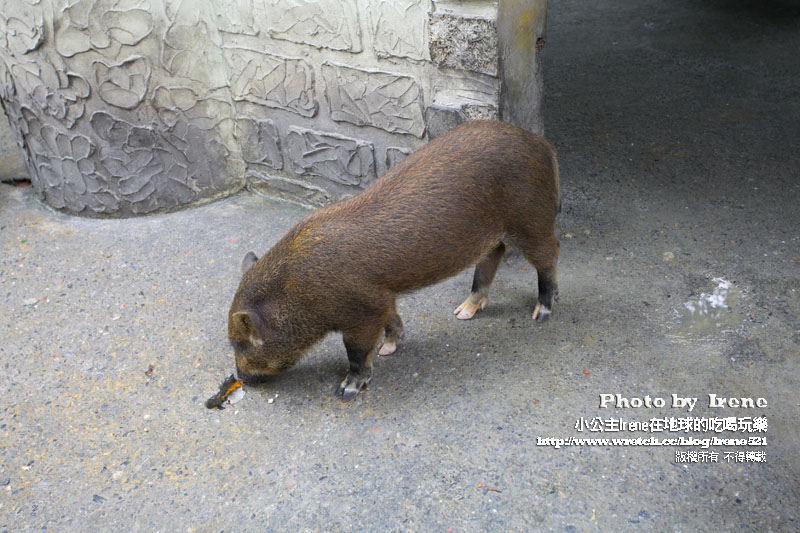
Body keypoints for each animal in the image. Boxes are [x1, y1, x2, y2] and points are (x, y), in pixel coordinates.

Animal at [228, 119, 560, 400]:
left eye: (241, 343)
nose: (240, 377)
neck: (298, 293)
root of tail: (543, 145)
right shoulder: (381, 296)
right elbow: (393, 319)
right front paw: (388, 349)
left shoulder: (364, 310)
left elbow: (355, 351)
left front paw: (346, 392)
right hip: (495, 233)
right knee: (493, 256)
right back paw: (462, 313)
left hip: (531, 218)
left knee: (549, 253)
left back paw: (542, 312)